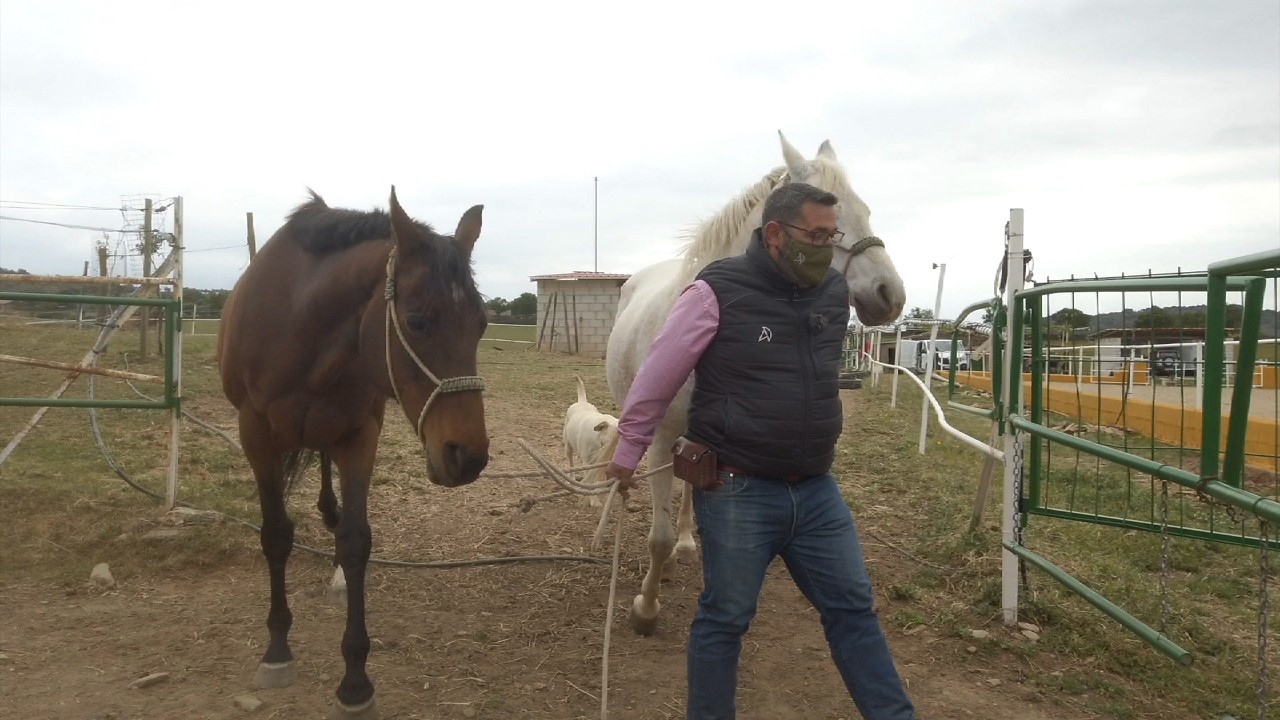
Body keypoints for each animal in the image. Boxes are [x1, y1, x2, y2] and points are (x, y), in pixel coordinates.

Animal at [220, 188, 488, 712]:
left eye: (483, 325)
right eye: (417, 322)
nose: (468, 456)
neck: (299, 326)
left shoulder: (360, 434)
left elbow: (355, 539)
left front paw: (355, 681)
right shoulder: (254, 433)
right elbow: (276, 535)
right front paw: (277, 650)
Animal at [563, 376, 622, 504]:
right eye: (616, 439)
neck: (597, 440)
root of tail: (582, 401)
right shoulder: (588, 463)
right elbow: (590, 481)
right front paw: (594, 501)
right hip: (568, 446)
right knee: (571, 463)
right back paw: (571, 479)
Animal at [604, 130, 906, 632]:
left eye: (865, 210)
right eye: (831, 228)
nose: (891, 296)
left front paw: (666, 569)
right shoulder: (661, 439)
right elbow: (656, 537)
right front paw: (646, 607)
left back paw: (686, 544)